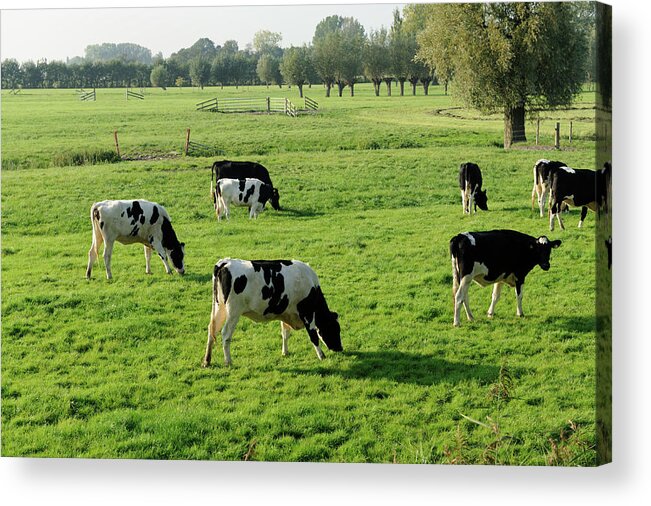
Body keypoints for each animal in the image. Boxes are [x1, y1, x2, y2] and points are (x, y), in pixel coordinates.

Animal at [202, 258, 344, 366]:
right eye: (335, 329)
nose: (340, 348)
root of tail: (226, 262)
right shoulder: (307, 313)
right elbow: (313, 335)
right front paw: (321, 355)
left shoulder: (286, 312)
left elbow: (285, 333)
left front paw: (285, 352)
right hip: (233, 312)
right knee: (225, 334)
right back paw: (228, 361)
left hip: (219, 308)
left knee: (211, 330)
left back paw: (206, 361)